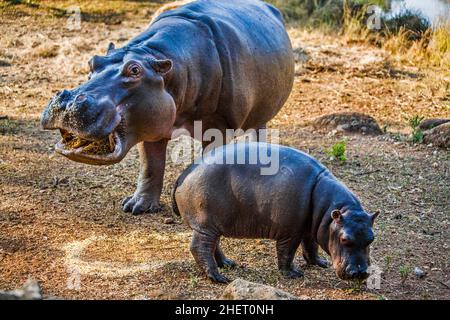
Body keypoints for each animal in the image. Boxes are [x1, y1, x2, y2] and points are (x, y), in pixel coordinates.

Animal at [39, 0, 296, 215]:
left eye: (135, 70)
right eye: (93, 61)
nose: (68, 101)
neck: (156, 57)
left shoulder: (219, 125)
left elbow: (210, 163)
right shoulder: (149, 124)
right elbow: (150, 166)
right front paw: (137, 207)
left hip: (260, 114)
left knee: (259, 133)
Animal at [173, 142, 380, 282]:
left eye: (371, 238)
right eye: (344, 239)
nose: (360, 273)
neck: (331, 210)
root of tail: (184, 174)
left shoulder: (311, 226)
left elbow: (311, 246)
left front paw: (320, 263)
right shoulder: (291, 232)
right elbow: (287, 252)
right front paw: (294, 273)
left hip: (214, 224)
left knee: (213, 245)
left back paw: (228, 264)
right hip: (205, 224)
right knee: (200, 247)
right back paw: (219, 278)